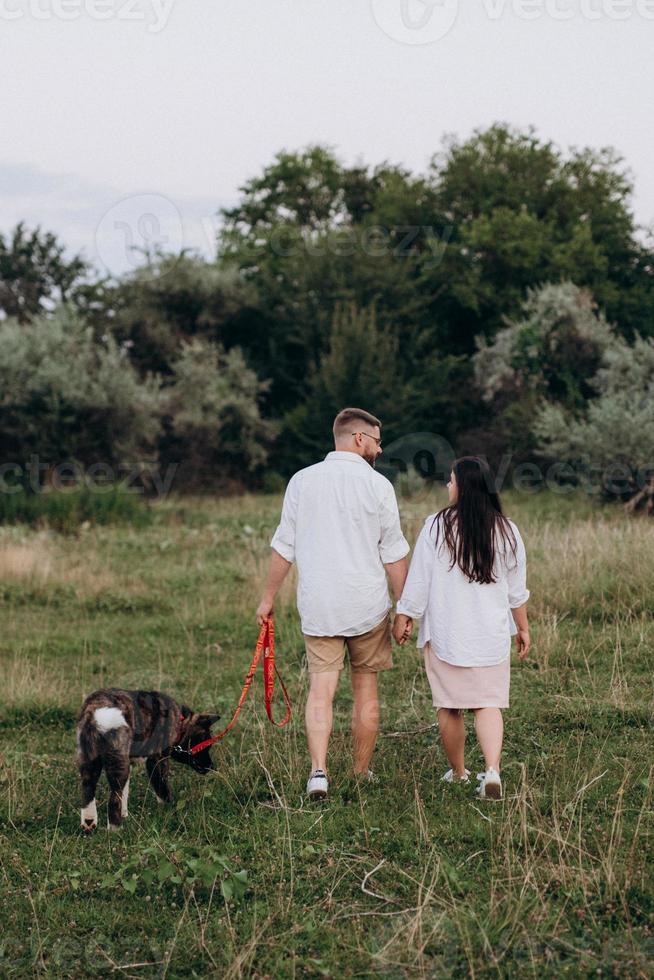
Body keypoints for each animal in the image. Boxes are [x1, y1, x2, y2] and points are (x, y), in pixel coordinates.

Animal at [76, 684, 220, 832]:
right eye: (206, 746)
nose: (211, 767)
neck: (180, 722)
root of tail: (98, 713)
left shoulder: (129, 763)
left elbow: (125, 792)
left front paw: (125, 814)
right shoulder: (156, 762)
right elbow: (163, 790)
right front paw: (169, 811)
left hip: (91, 763)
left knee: (88, 789)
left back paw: (89, 823)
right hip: (118, 764)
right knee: (114, 798)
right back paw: (115, 830)